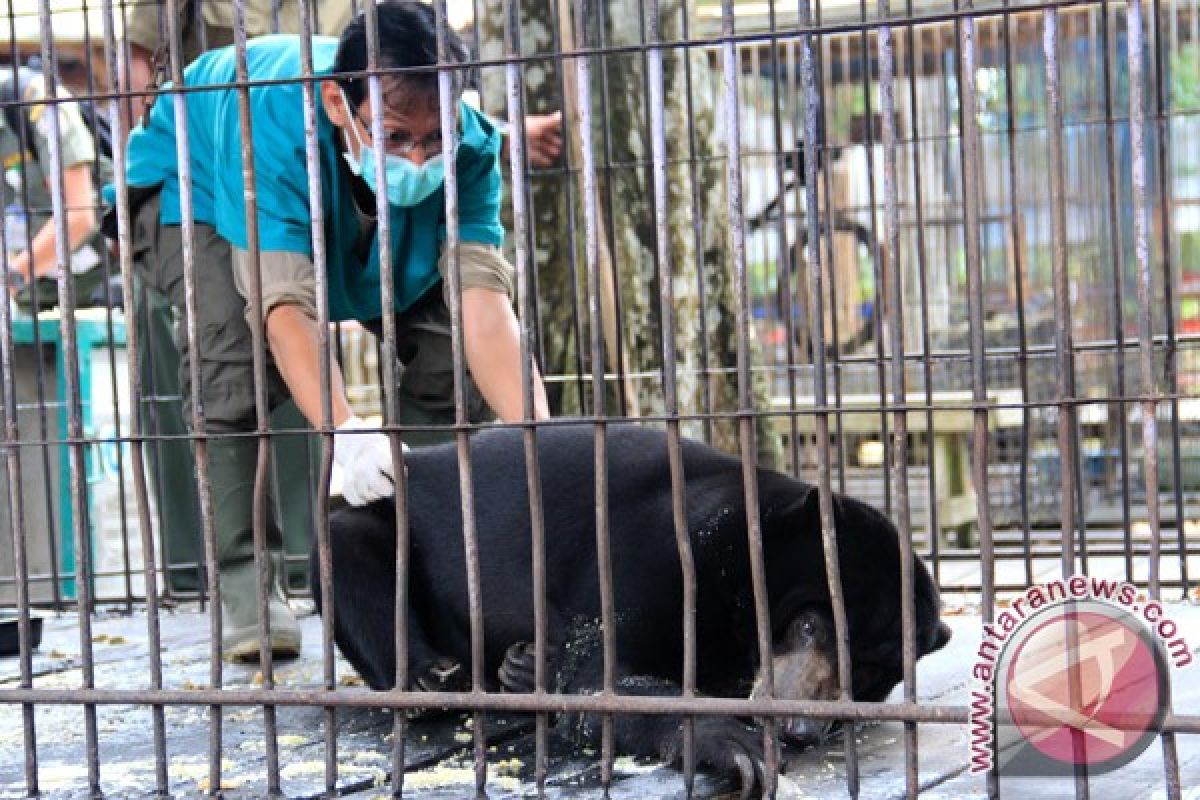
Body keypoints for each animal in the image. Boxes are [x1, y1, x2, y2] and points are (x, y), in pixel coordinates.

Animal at [314, 424, 950, 796]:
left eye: (868, 671)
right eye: (811, 625)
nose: (801, 729)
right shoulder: (656, 555)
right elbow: (601, 680)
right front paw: (732, 744)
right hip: (380, 528)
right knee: (347, 550)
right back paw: (434, 677)